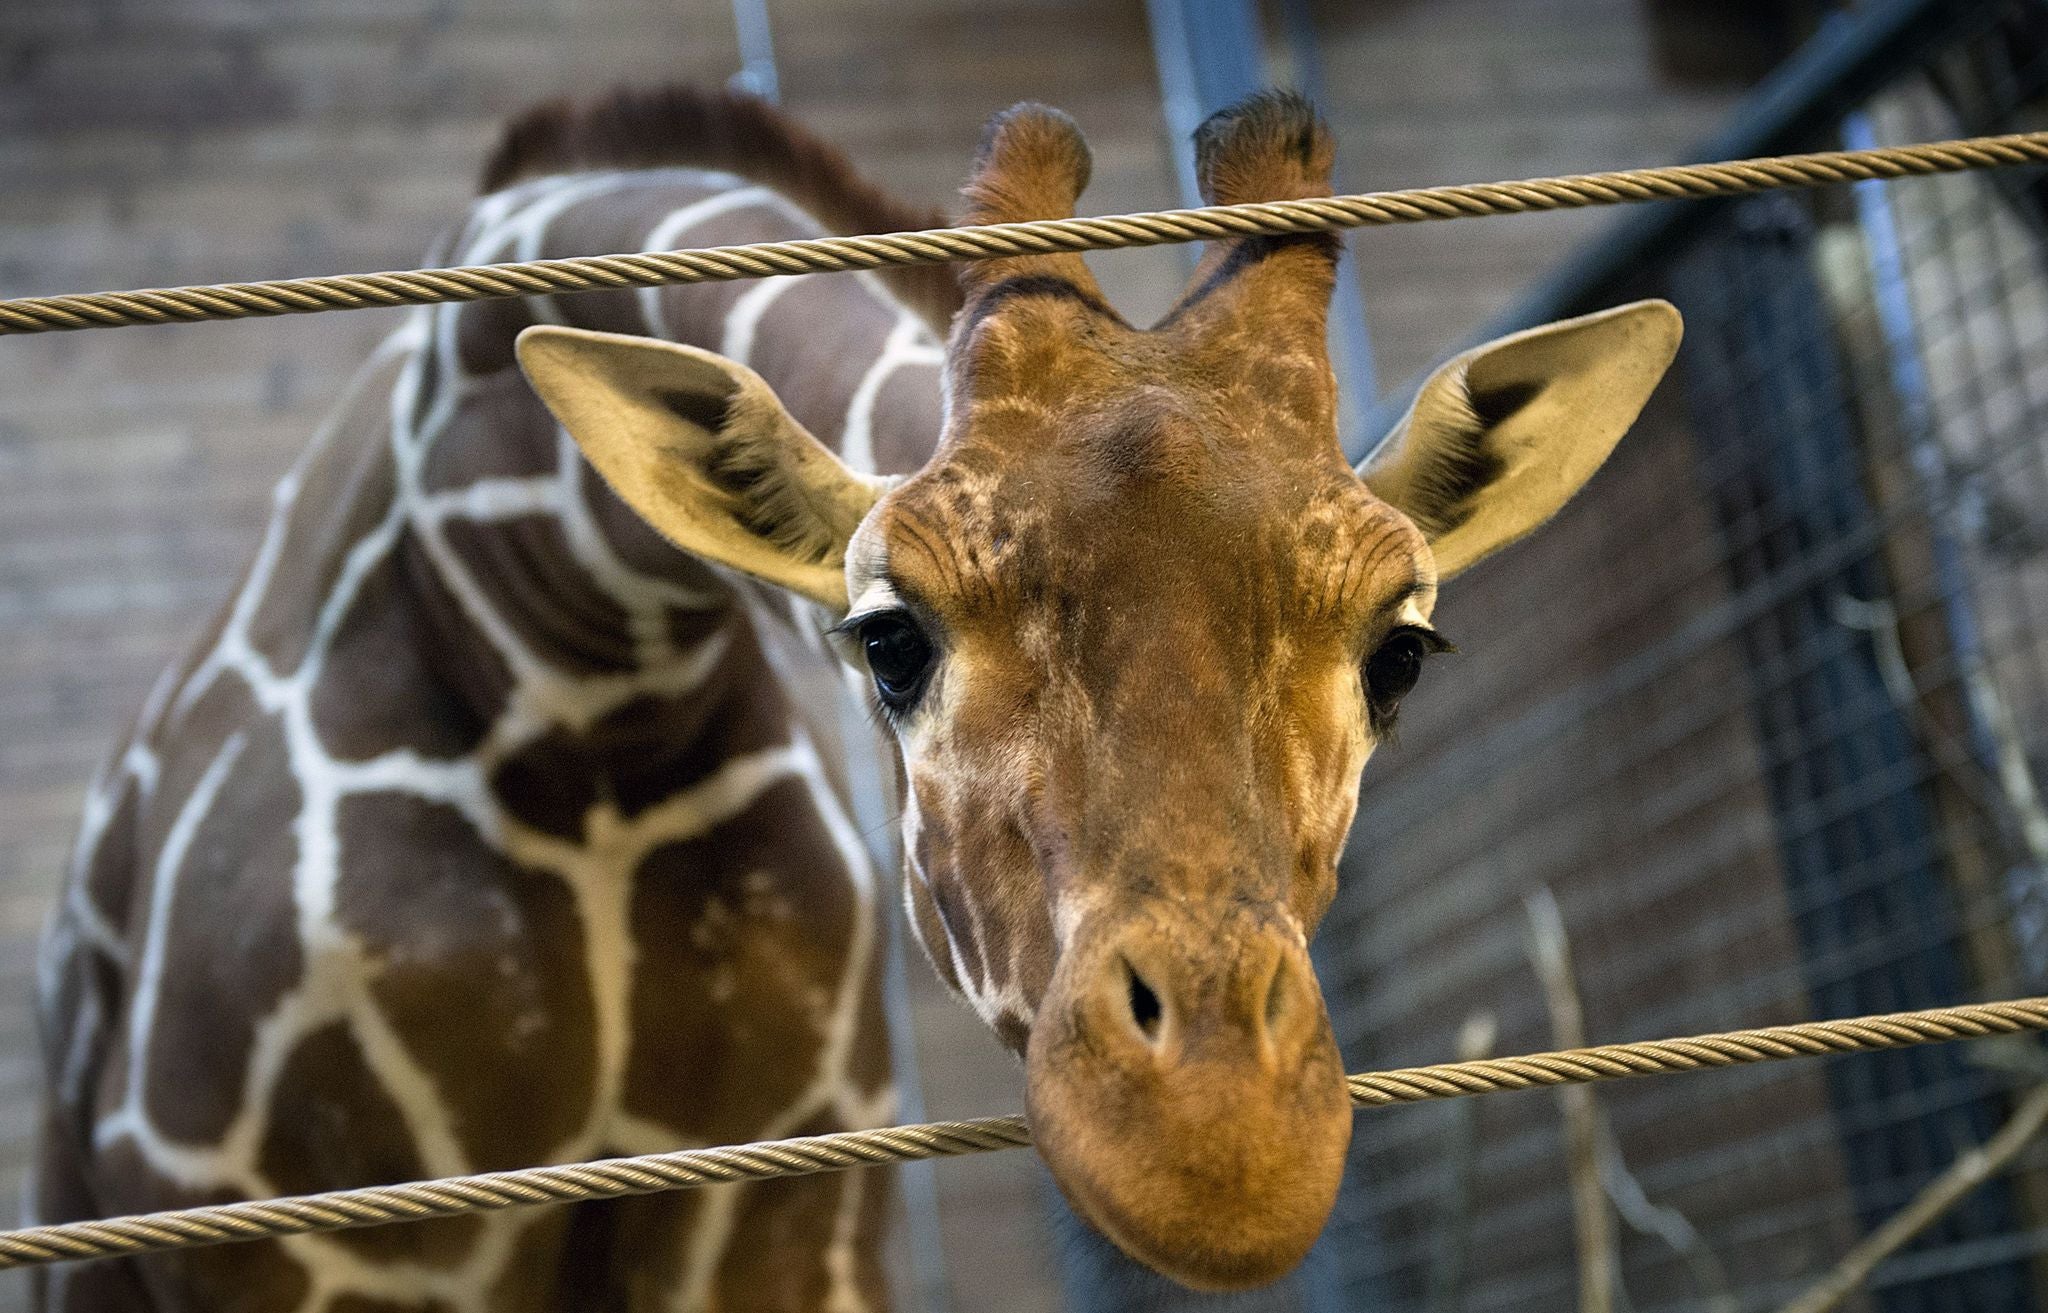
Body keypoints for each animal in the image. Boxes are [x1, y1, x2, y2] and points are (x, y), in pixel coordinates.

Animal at [32, 87, 1687, 1302]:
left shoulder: (779, 1203)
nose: (1218, 1149)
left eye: (1400, 647)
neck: (569, 666)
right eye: (890, 638)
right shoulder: (294, 1237)